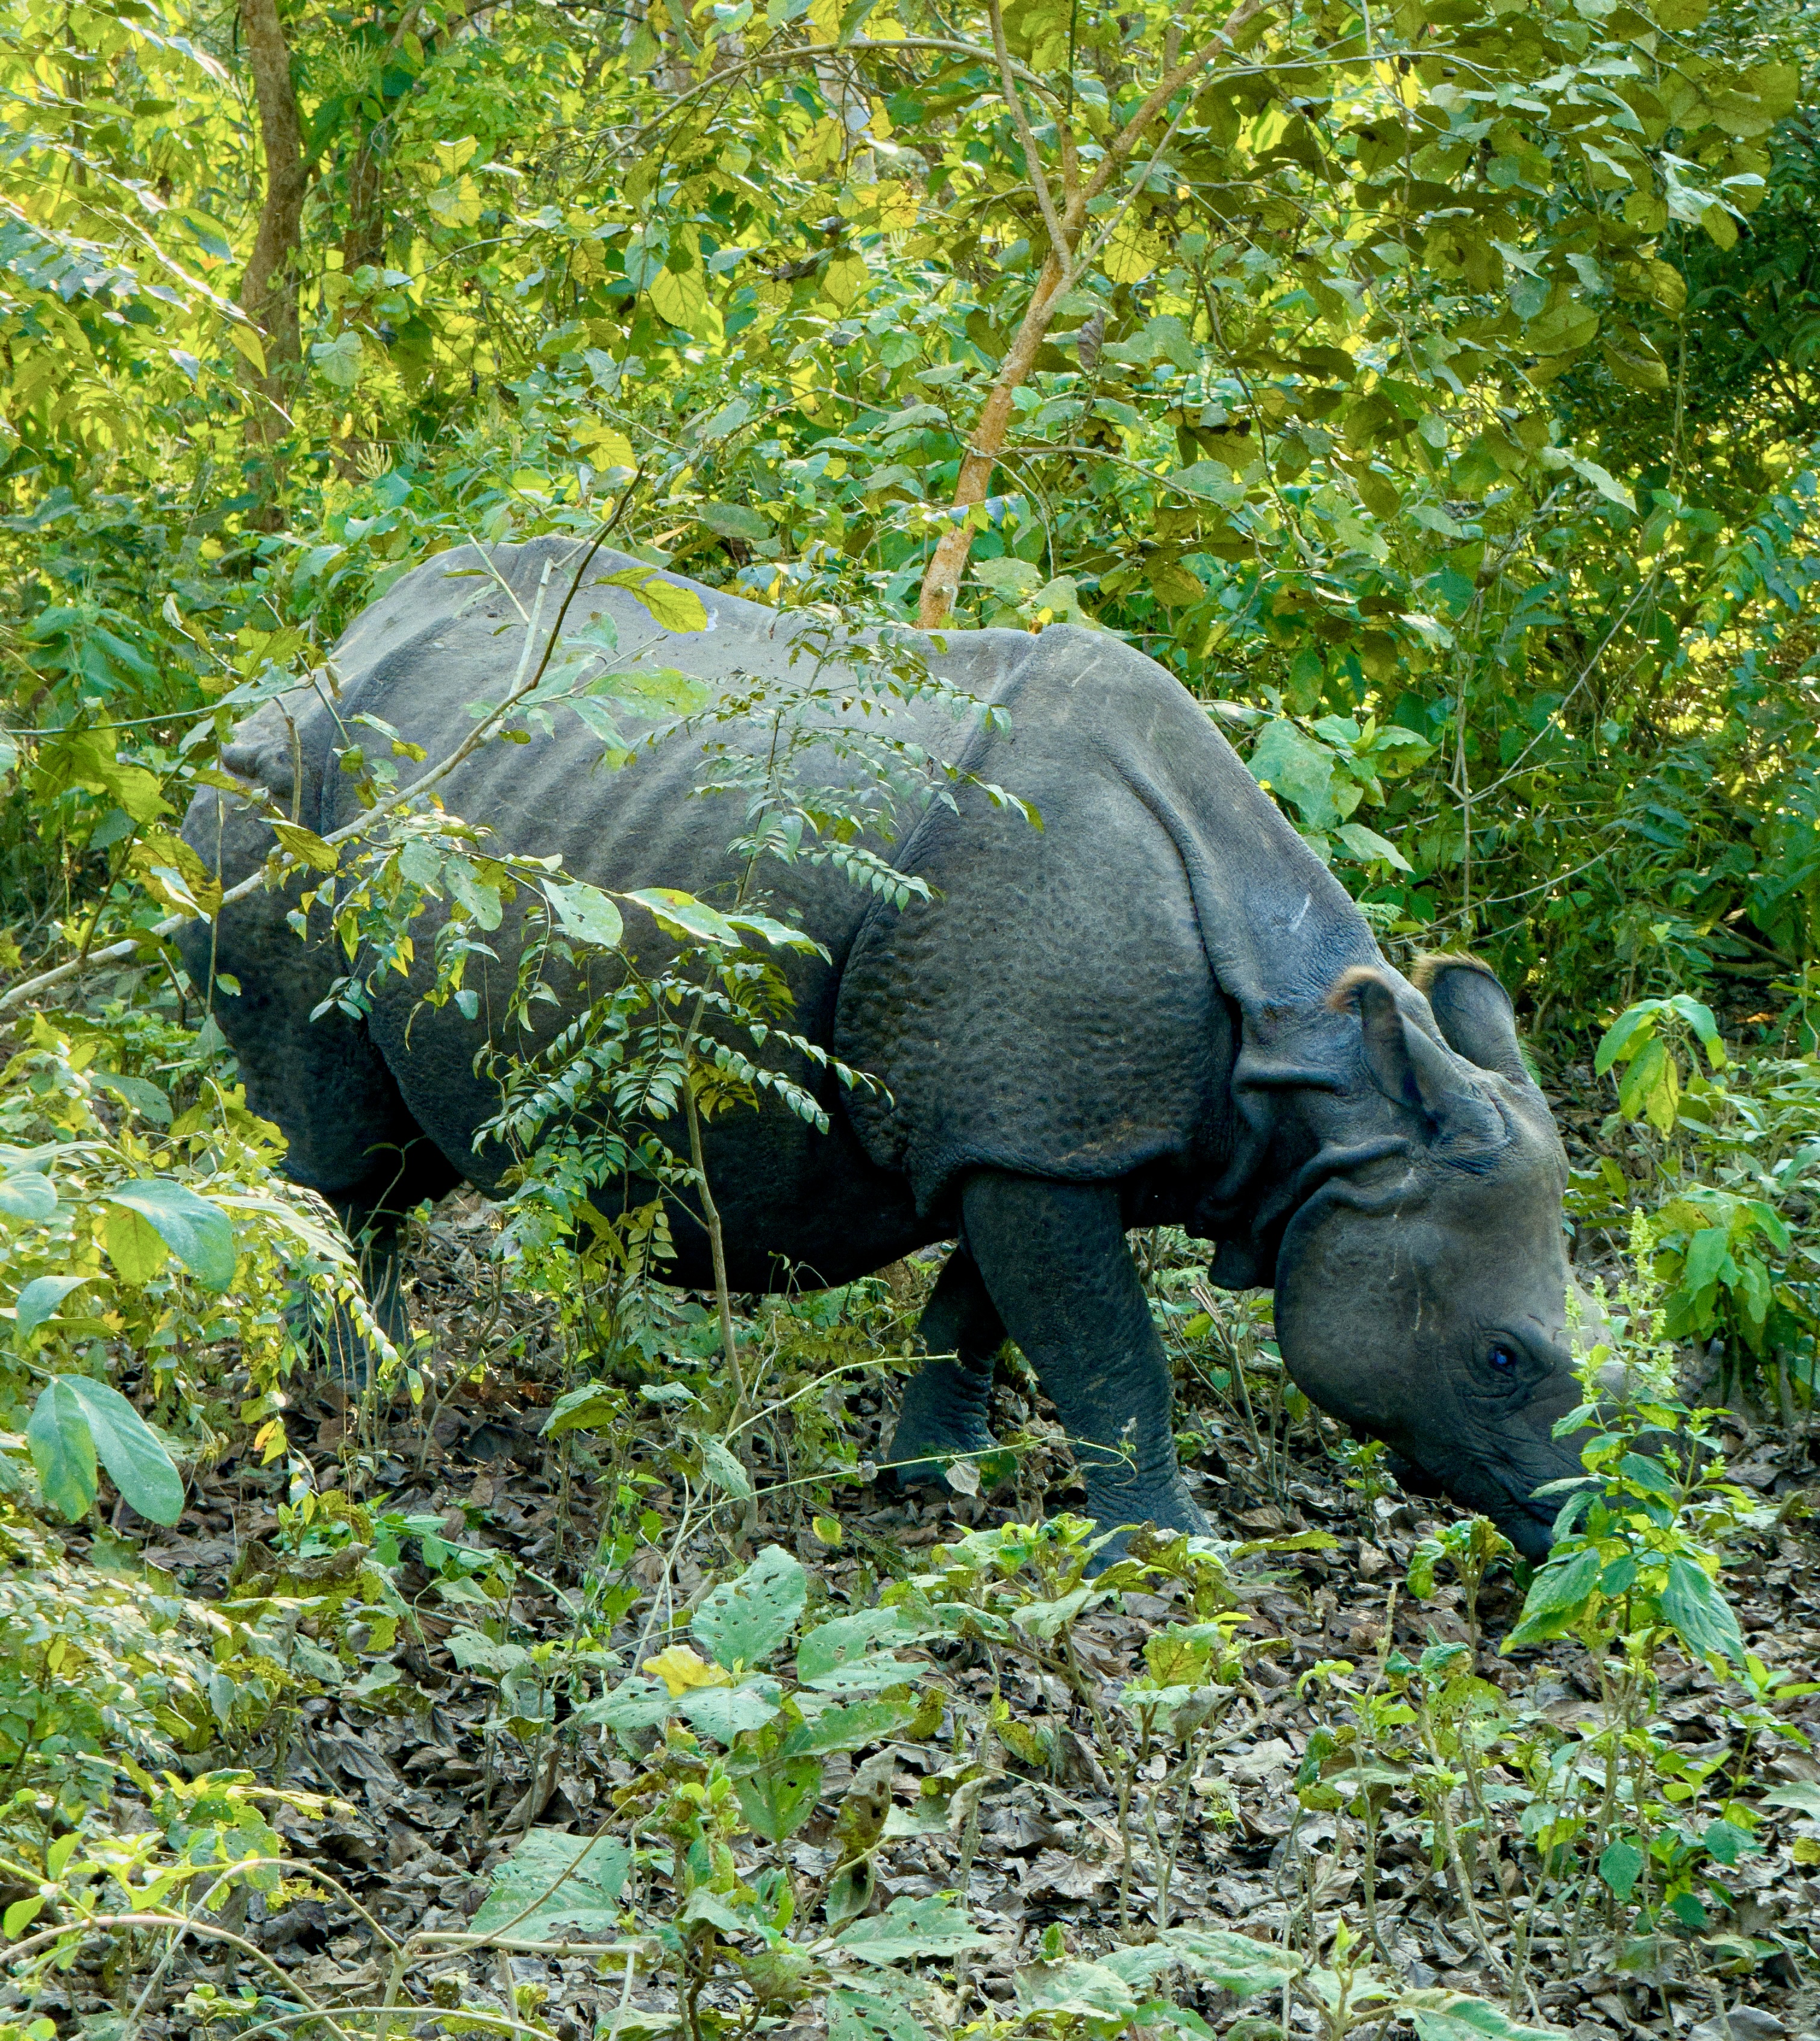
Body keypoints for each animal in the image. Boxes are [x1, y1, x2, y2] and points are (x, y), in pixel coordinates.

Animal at [181, 535, 1587, 1559]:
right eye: (1501, 1358)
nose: (1572, 1529)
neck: (1323, 1086)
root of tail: (328, 648)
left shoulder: (1027, 1132)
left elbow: (984, 1311)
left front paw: (930, 1476)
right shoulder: (1038, 1142)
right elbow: (1110, 1350)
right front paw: (1169, 1555)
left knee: (394, 1158)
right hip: (283, 806)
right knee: (343, 1155)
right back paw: (372, 1399)